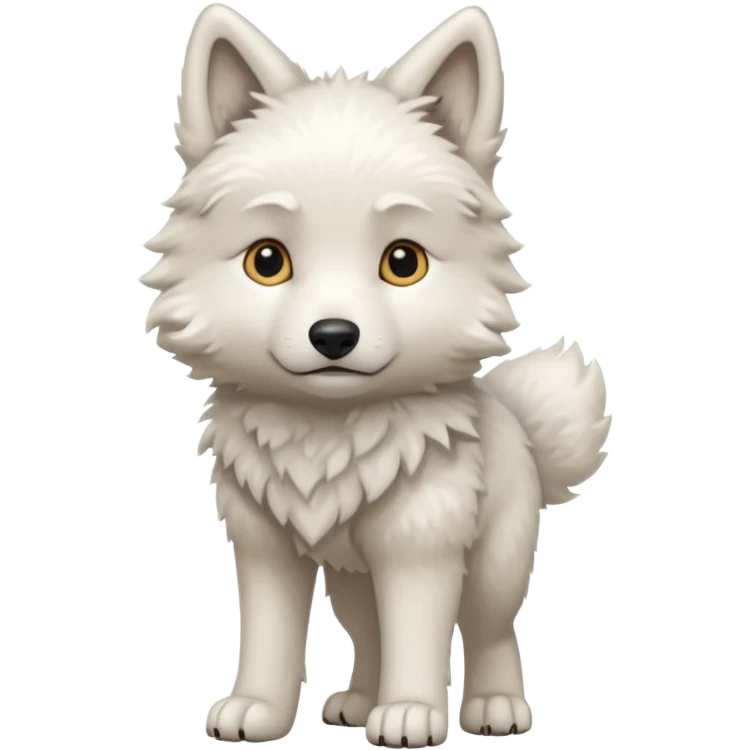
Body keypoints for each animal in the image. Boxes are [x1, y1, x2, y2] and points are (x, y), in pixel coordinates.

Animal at [141, 3, 612, 746]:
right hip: (349, 580)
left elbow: (421, 634)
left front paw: (413, 714)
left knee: (490, 631)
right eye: (267, 260)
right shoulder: (265, 549)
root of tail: (520, 427)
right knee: (371, 636)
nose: (334, 336)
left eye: (403, 262)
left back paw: (495, 705)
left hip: (494, 565)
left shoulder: (422, 546)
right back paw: (360, 701)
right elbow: (269, 636)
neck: (328, 432)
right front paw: (256, 710)